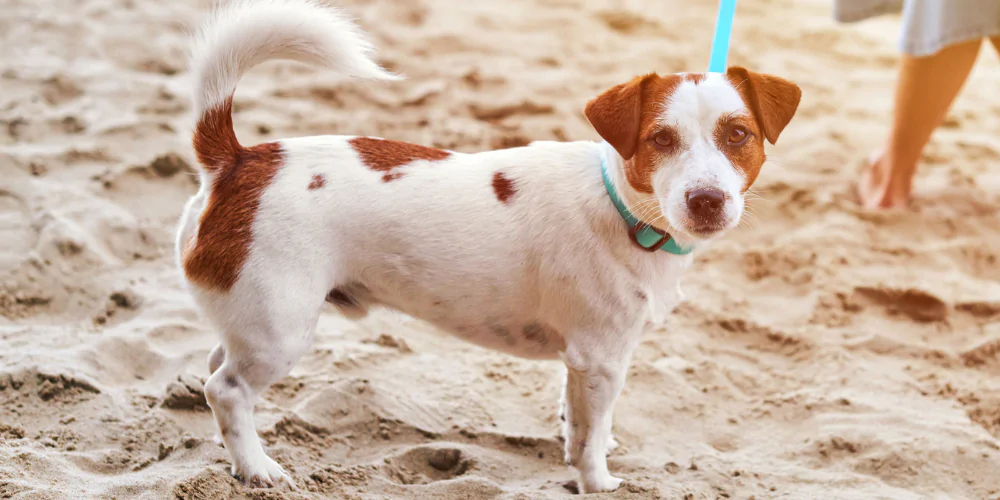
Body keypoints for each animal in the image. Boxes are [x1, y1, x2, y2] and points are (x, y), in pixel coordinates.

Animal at [178, 0, 804, 492]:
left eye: (738, 135)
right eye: (660, 140)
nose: (707, 200)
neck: (621, 207)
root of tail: (238, 161)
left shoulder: (581, 364)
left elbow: (580, 423)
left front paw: (585, 446)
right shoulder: (602, 358)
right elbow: (590, 440)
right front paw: (598, 481)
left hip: (252, 316)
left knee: (215, 369)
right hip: (281, 329)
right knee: (225, 388)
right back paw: (257, 468)